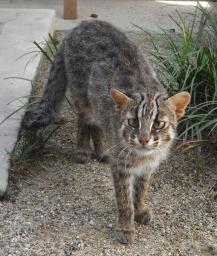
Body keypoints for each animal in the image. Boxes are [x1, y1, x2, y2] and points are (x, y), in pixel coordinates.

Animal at [20, 20, 190, 244]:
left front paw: (140, 208)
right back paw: (83, 149)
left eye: (159, 124)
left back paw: (101, 150)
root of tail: (81, 24)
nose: (144, 139)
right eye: (133, 122)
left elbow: (141, 189)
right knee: (85, 120)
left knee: (98, 125)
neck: (141, 156)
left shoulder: (149, 166)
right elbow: (124, 200)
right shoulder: (121, 167)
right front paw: (126, 226)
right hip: (83, 96)